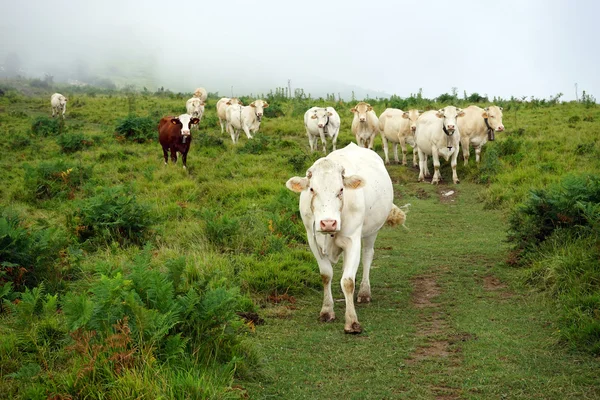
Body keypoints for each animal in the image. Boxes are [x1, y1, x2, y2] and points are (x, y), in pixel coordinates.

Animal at [284, 144, 406, 334]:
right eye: (312, 189)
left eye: (341, 190)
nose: (328, 223)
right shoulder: (312, 240)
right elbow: (326, 275)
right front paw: (327, 310)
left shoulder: (353, 239)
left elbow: (348, 281)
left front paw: (352, 321)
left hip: (372, 231)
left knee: (367, 256)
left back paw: (364, 291)